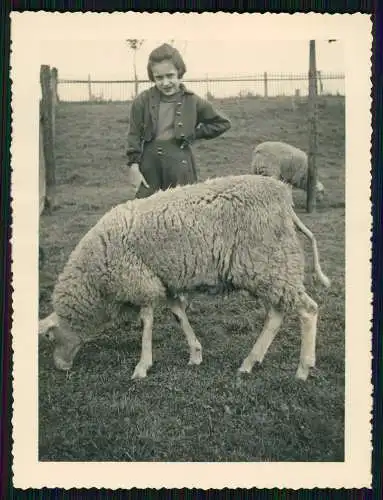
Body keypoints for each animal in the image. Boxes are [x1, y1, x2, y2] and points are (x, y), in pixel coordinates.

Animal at [39, 174, 332, 380]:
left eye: (50, 337)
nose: (60, 367)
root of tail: (284, 196)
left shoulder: (140, 280)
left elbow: (147, 321)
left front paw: (142, 366)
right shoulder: (163, 282)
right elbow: (178, 314)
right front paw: (195, 354)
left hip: (271, 263)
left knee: (307, 310)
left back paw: (303, 369)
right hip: (271, 268)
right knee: (277, 314)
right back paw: (250, 362)